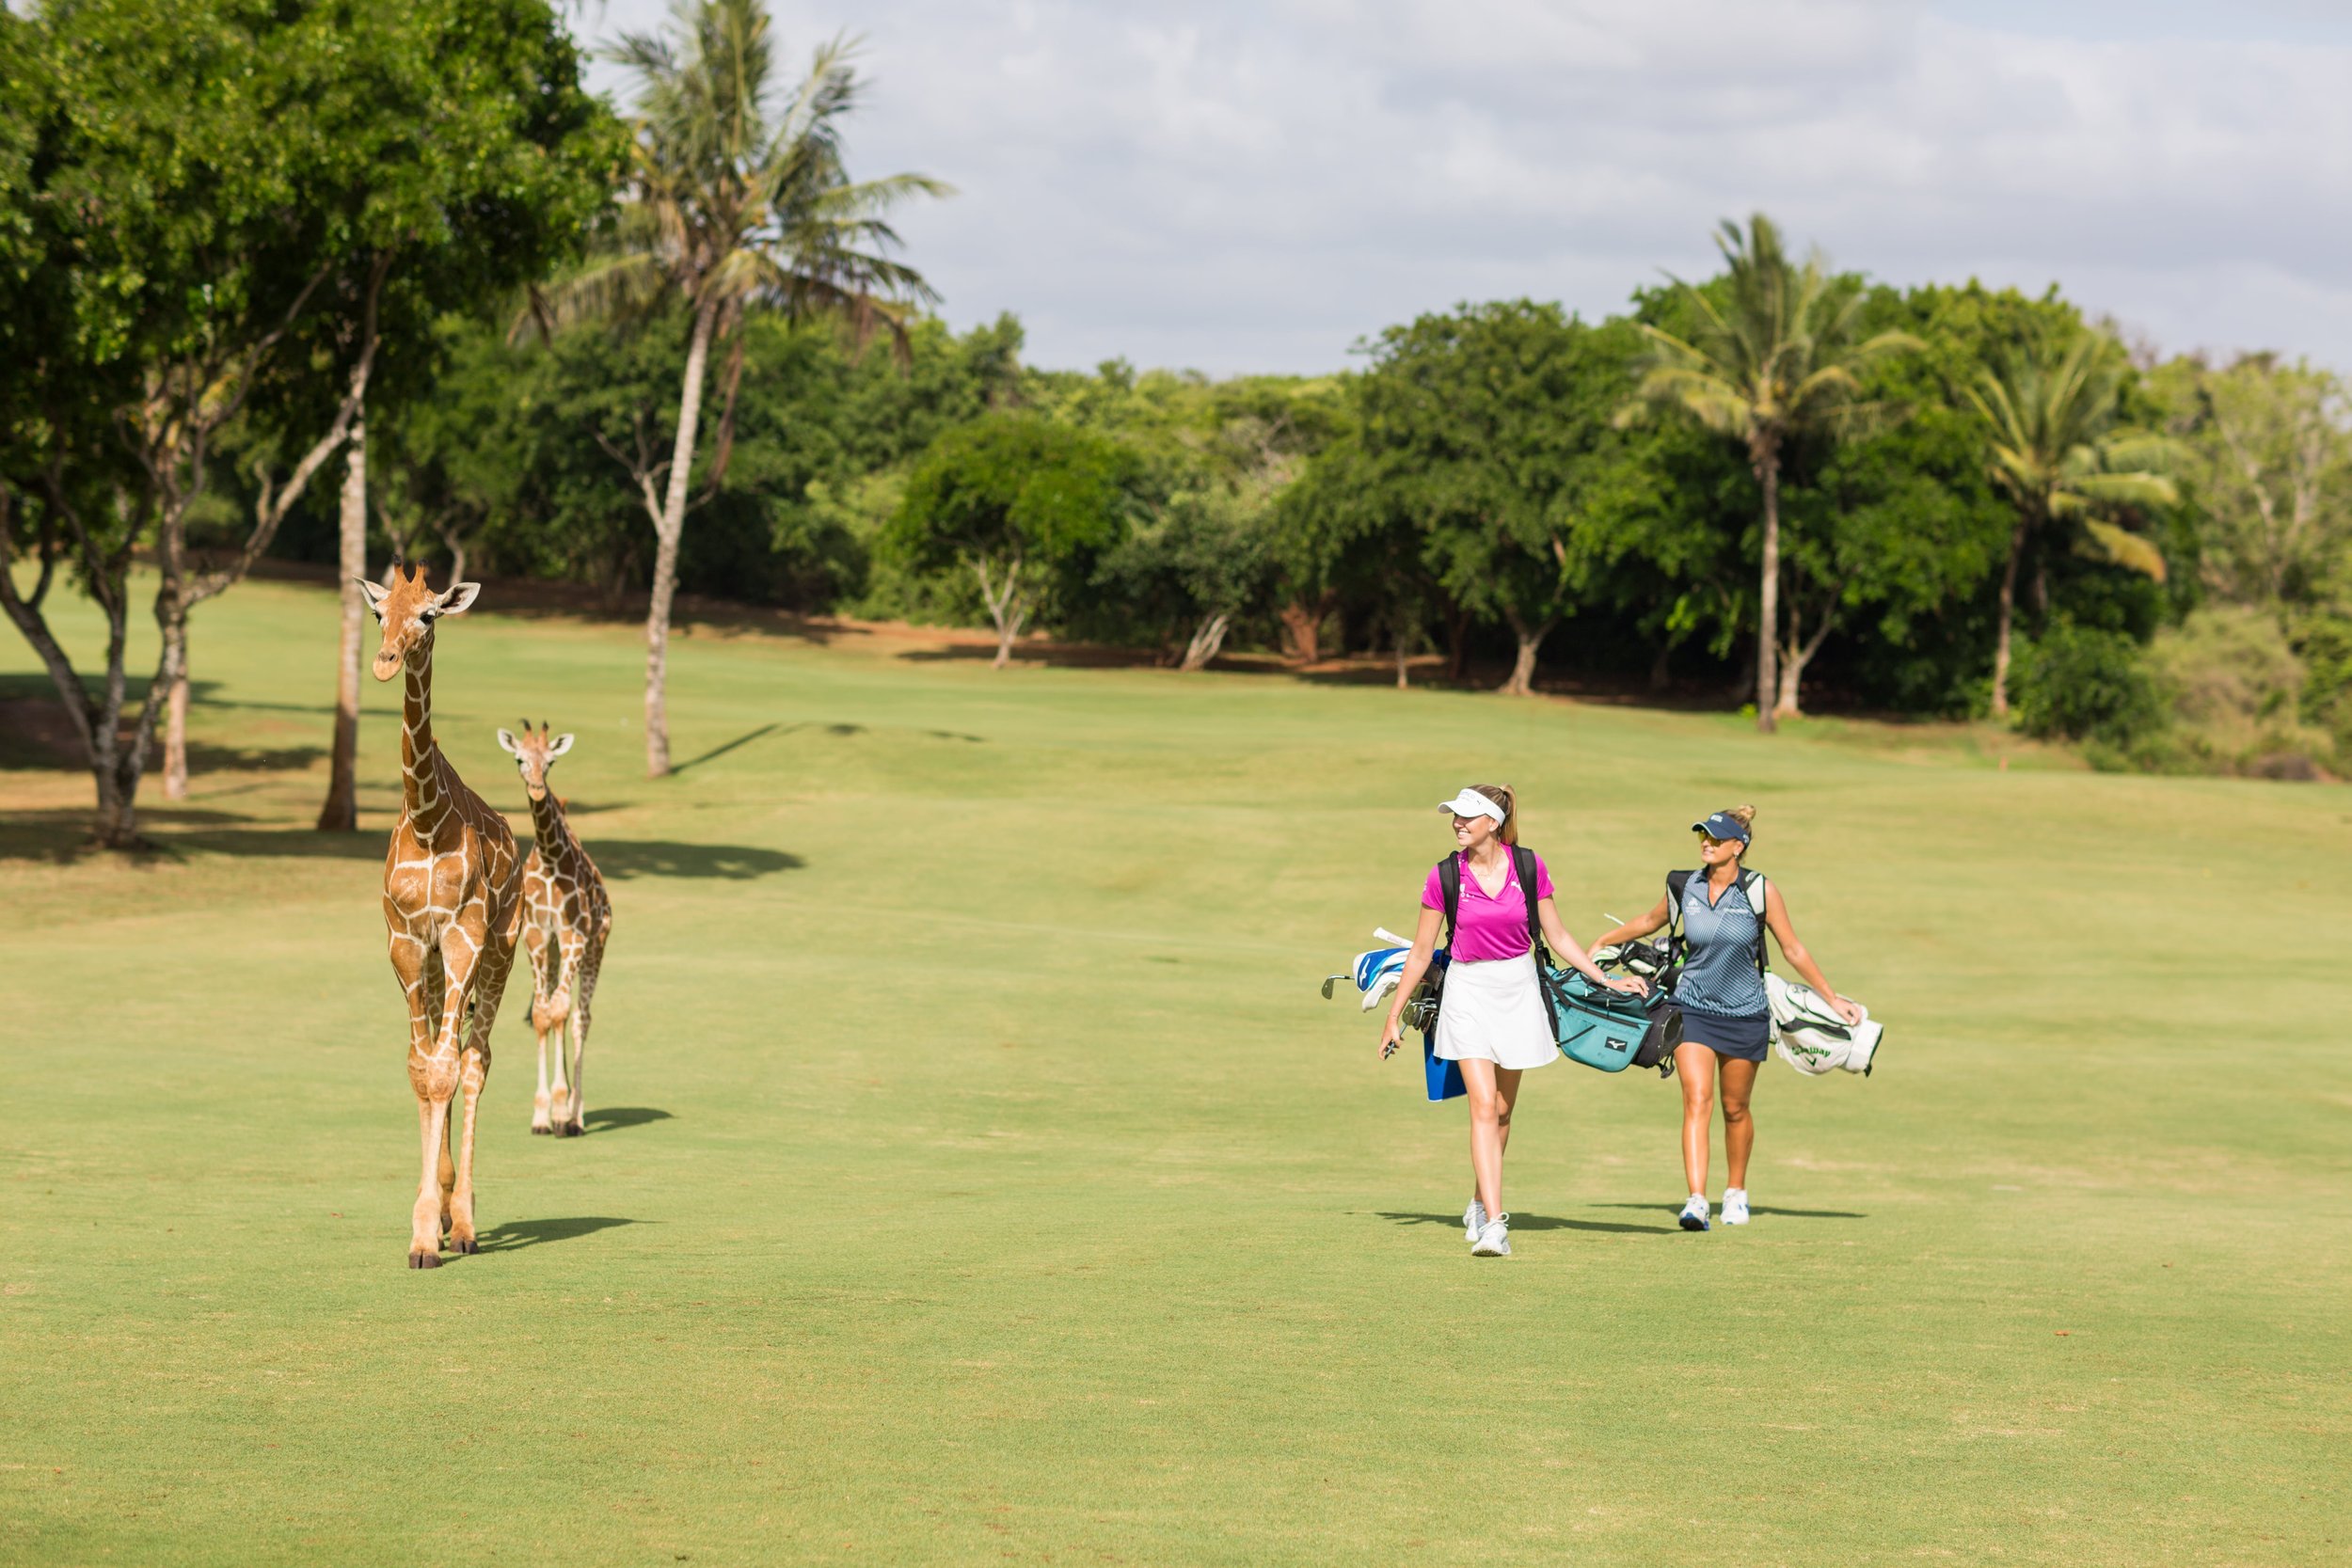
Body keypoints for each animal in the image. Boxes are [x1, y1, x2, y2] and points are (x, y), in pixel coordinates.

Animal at [499, 723, 616, 1142]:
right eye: (519, 759)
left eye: (550, 762)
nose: (536, 787)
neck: (551, 858)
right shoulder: (536, 937)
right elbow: (541, 1014)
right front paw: (541, 1115)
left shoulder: (574, 936)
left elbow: (564, 1011)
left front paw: (563, 1112)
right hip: (551, 954)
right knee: (554, 1012)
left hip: (595, 945)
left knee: (581, 1017)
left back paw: (575, 1115)